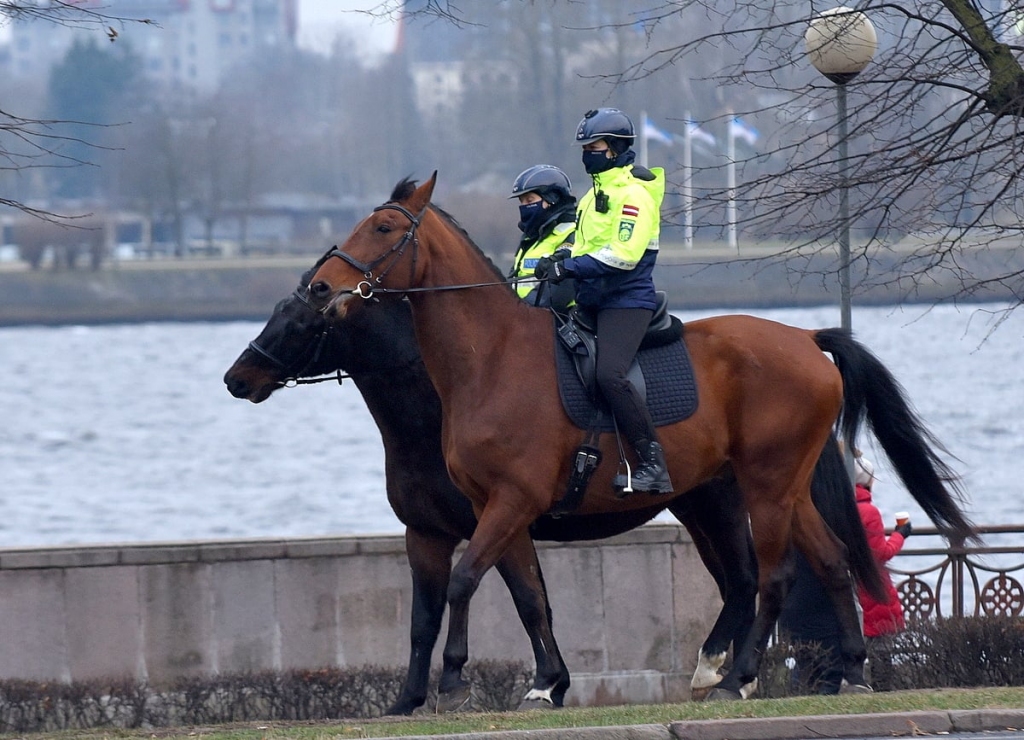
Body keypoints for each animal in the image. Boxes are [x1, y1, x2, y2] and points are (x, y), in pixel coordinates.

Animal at [303, 173, 974, 708]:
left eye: (385, 226)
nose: (318, 287)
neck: (492, 357)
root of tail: (806, 338)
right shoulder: (501, 508)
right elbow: (529, 599)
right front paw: (543, 685)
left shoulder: (510, 502)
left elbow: (466, 579)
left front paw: (453, 682)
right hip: (785, 489)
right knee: (831, 562)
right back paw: (849, 673)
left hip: (762, 488)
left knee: (774, 576)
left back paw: (737, 678)